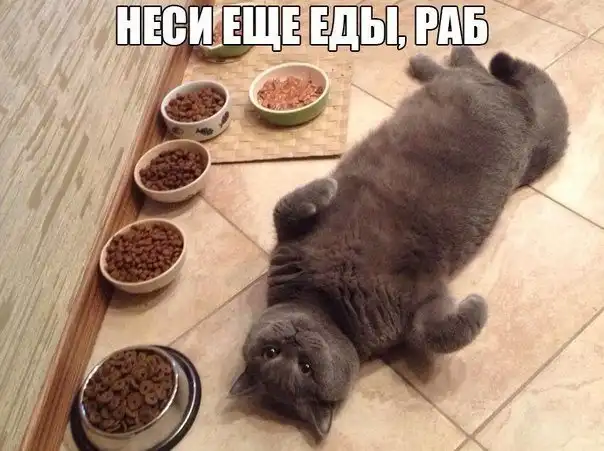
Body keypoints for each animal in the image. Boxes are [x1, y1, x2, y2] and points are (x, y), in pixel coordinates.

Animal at [229, 47, 569, 440]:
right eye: (294, 364)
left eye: (274, 353)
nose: (293, 339)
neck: (327, 303)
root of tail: (529, 125)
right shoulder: (418, 299)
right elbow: (432, 333)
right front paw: (476, 306)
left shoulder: (286, 243)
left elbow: (285, 206)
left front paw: (327, 188)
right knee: (476, 71)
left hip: (475, 90)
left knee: (474, 67)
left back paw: (434, 58)